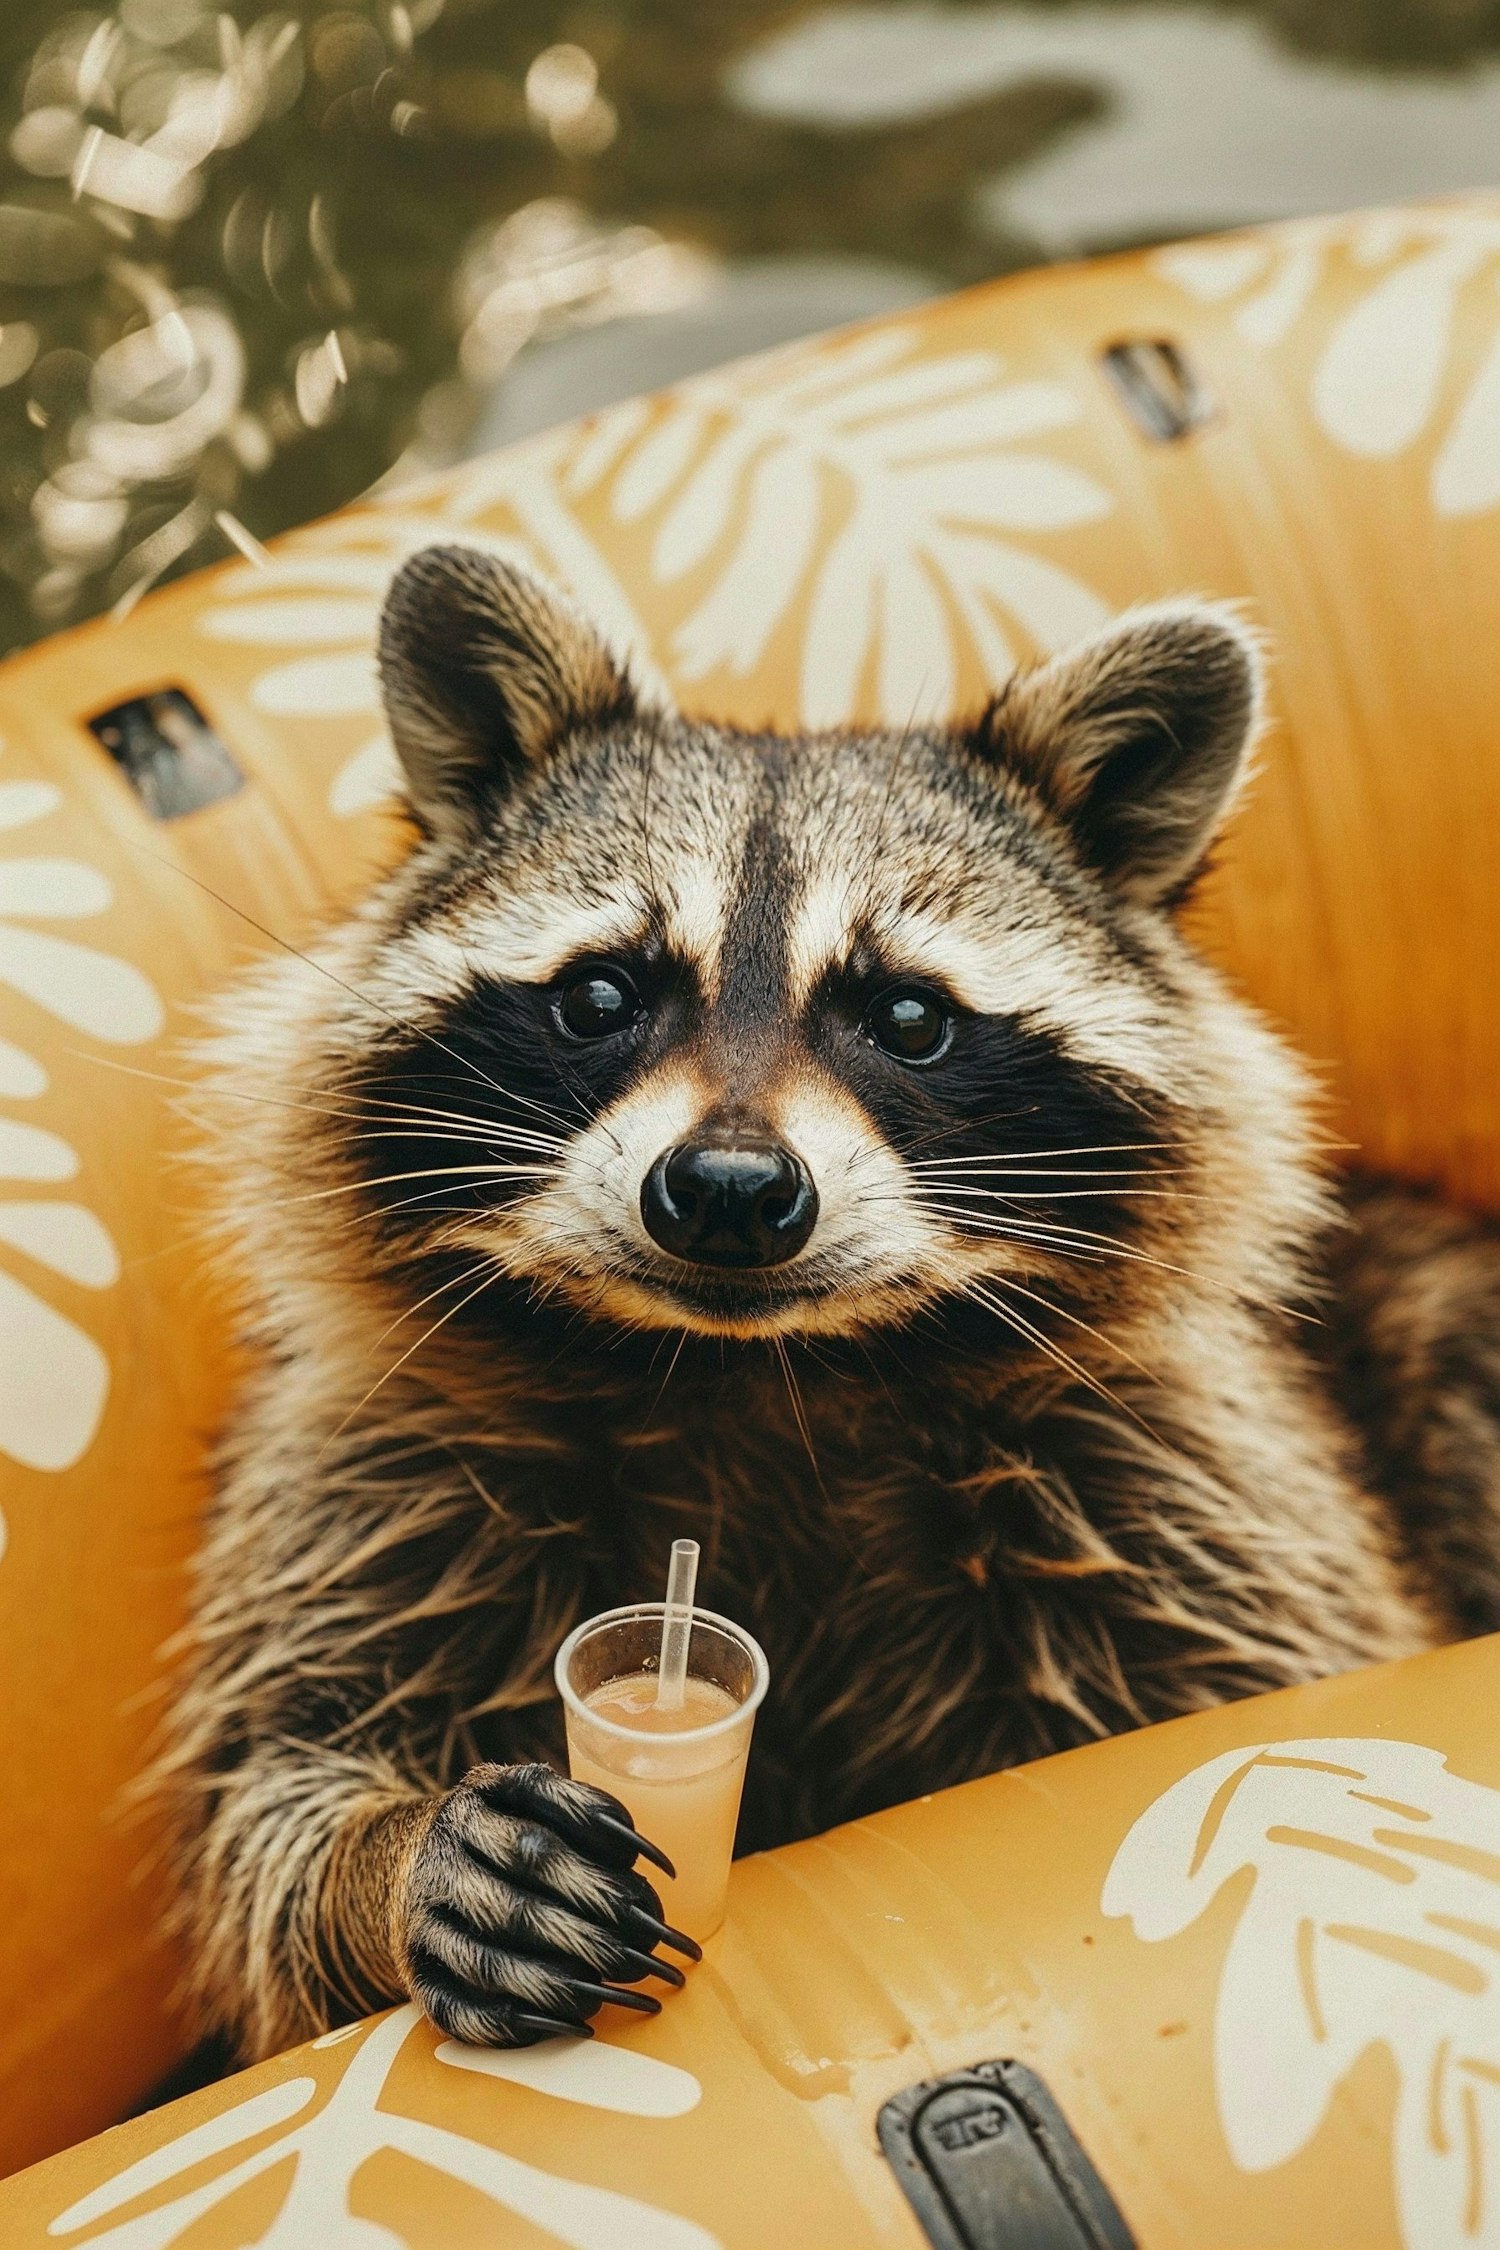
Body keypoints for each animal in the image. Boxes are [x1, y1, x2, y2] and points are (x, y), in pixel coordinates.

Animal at [158, 540, 1493, 2061]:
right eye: (602, 994)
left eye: (907, 1016)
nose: (730, 1189)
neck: (752, 1375)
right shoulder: (385, 1460)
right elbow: (274, 1788)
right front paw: (392, 1854)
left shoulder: (1178, 1479)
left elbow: (1258, 1698)